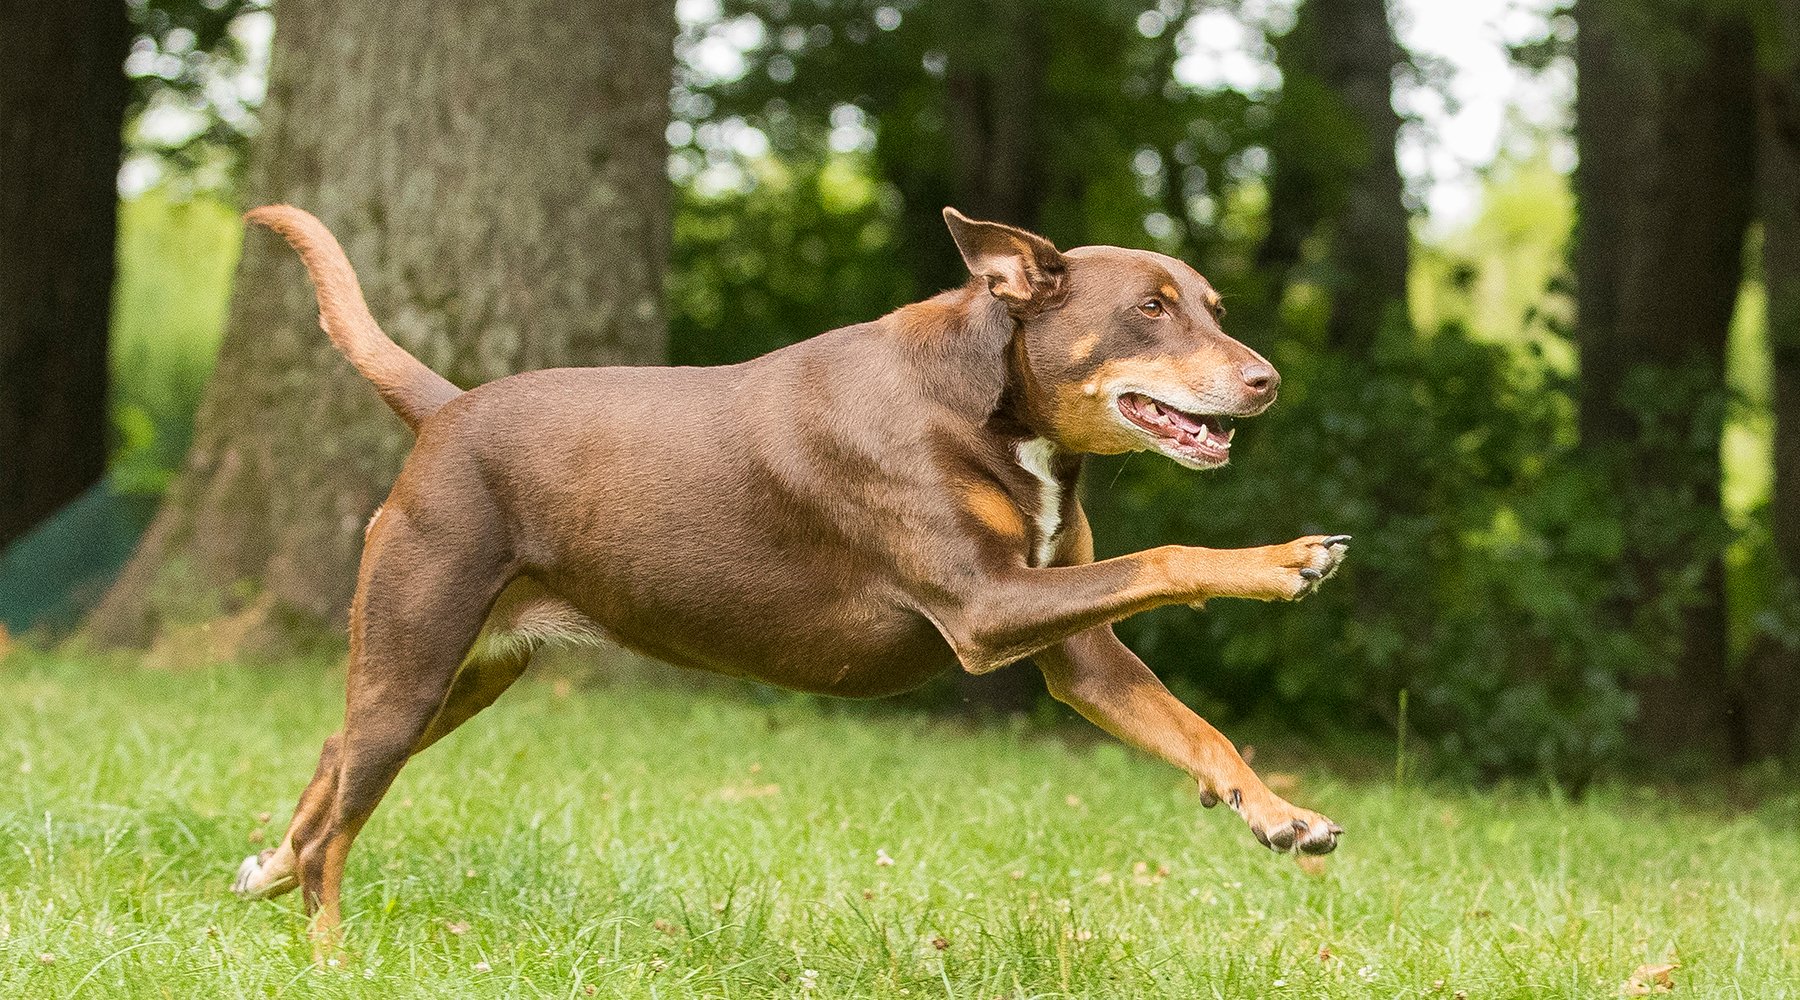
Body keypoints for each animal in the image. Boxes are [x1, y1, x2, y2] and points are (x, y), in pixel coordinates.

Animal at [232, 201, 1346, 942]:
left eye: (1212, 305)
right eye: (1151, 310)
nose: (1269, 379)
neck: (992, 410)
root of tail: (446, 408)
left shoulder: (1080, 656)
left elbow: (1196, 727)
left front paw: (1281, 814)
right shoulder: (986, 609)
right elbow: (1166, 556)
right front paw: (1287, 561)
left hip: (468, 669)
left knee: (333, 757)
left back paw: (266, 869)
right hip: (419, 650)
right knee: (341, 827)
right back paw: (331, 950)